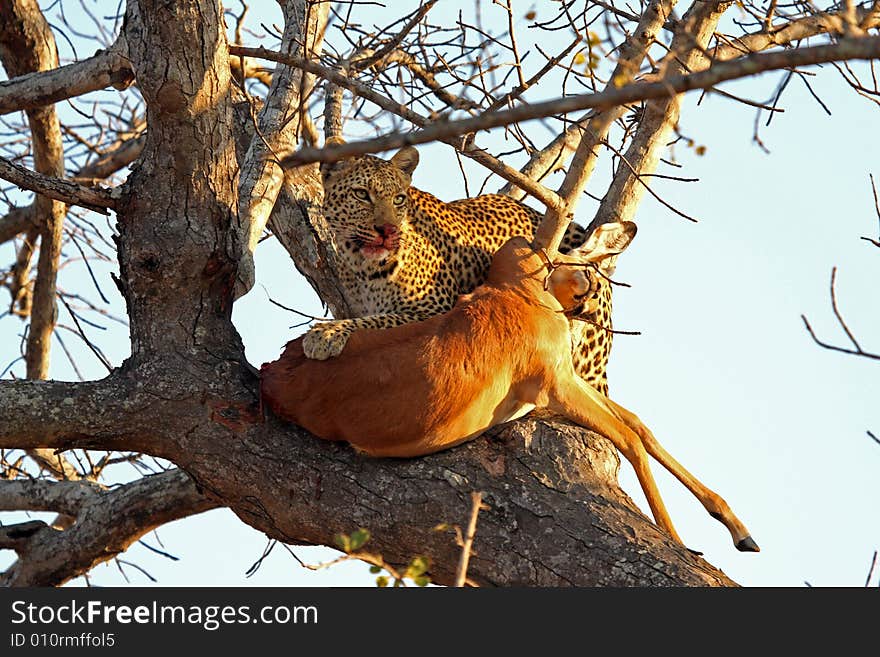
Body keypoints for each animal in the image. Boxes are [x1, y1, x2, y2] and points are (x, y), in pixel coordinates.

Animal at [260, 219, 756, 548]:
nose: (588, 294)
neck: (517, 292)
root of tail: (271, 370)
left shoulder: (564, 382)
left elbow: (641, 426)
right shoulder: (557, 387)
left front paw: (739, 531)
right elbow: (630, 438)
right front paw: (681, 543)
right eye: (579, 264)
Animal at [304, 142, 624, 394]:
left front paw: (326, 333)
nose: (387, 230)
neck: (360, 265)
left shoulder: (433, 310)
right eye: (361, 194)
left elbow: (378, 320)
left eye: (398, 199)